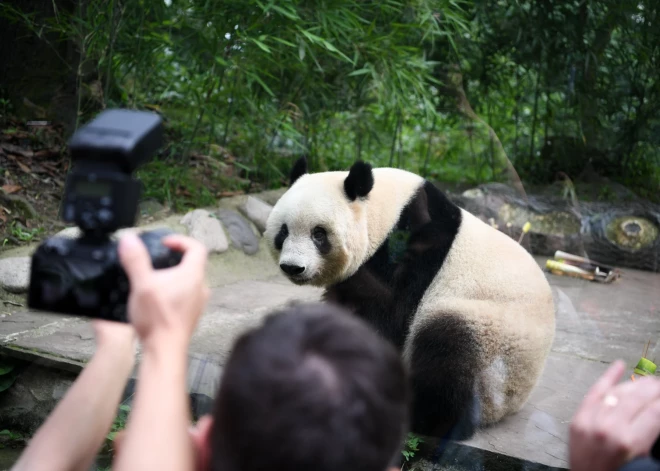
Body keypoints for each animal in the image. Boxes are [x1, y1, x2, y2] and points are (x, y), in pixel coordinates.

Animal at [262, 159, 556, 442]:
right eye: (283, 232)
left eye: (319, 234)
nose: (293, 267)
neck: (386, 211)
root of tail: (510, 405)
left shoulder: (411, 248)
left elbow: (384, 315)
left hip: (495, 335)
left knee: (449, 349)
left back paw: (423, 416)